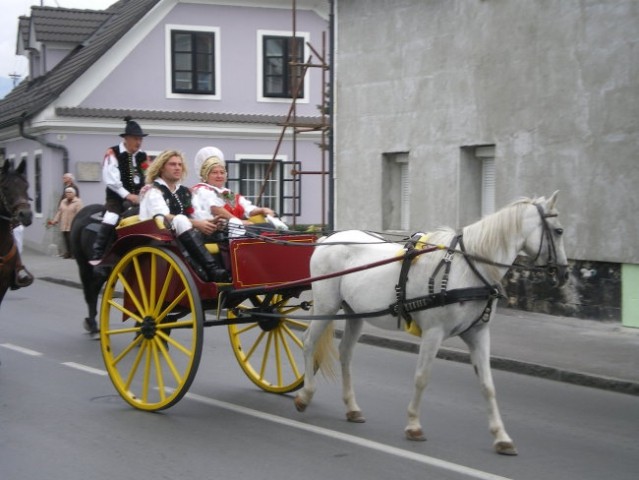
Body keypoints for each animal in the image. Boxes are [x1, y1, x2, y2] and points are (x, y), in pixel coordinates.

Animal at [296, 190, 568, 454]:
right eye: (559, 231)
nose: (565, 273)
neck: (466, 268)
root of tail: (327, 239)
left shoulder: (478, 334)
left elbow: (487, 385)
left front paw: (501, 437)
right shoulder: (434, 332)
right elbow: (422, 377)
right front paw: (414, 425)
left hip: (354, 313)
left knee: (345, 353)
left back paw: (352, 407)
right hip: (326, 306)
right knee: (308, 342)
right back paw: (305, 395)